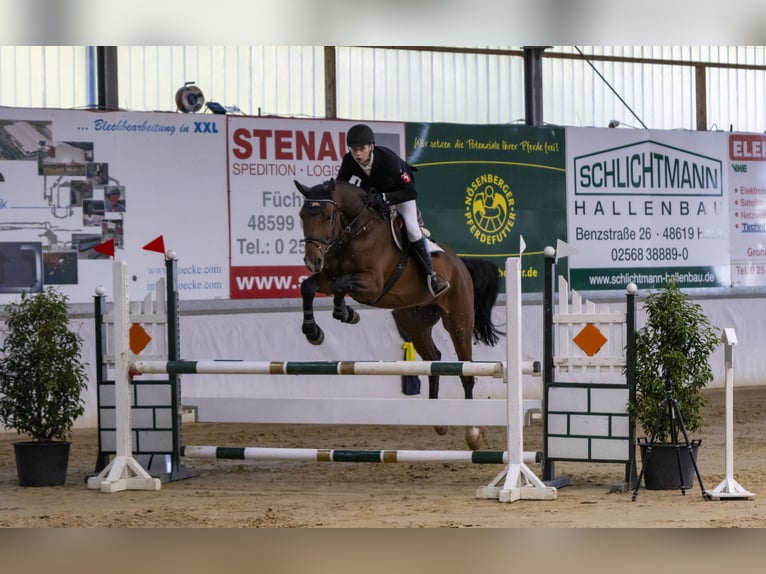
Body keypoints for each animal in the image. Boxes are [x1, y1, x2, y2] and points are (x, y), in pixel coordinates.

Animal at [294, 179, 504, 450]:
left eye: (327, 215)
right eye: (302, 215)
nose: (312, 261)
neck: (354, 231)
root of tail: (461, 264)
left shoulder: (371, 286)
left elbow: (342, 284)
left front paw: (344, 312)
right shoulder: (327, 278)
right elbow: (309, 287)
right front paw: (314, 331)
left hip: (459, 320)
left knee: (466, 370)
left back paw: (473, 433)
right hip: (414, 321)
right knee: (434, 359)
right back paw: (439, 420)